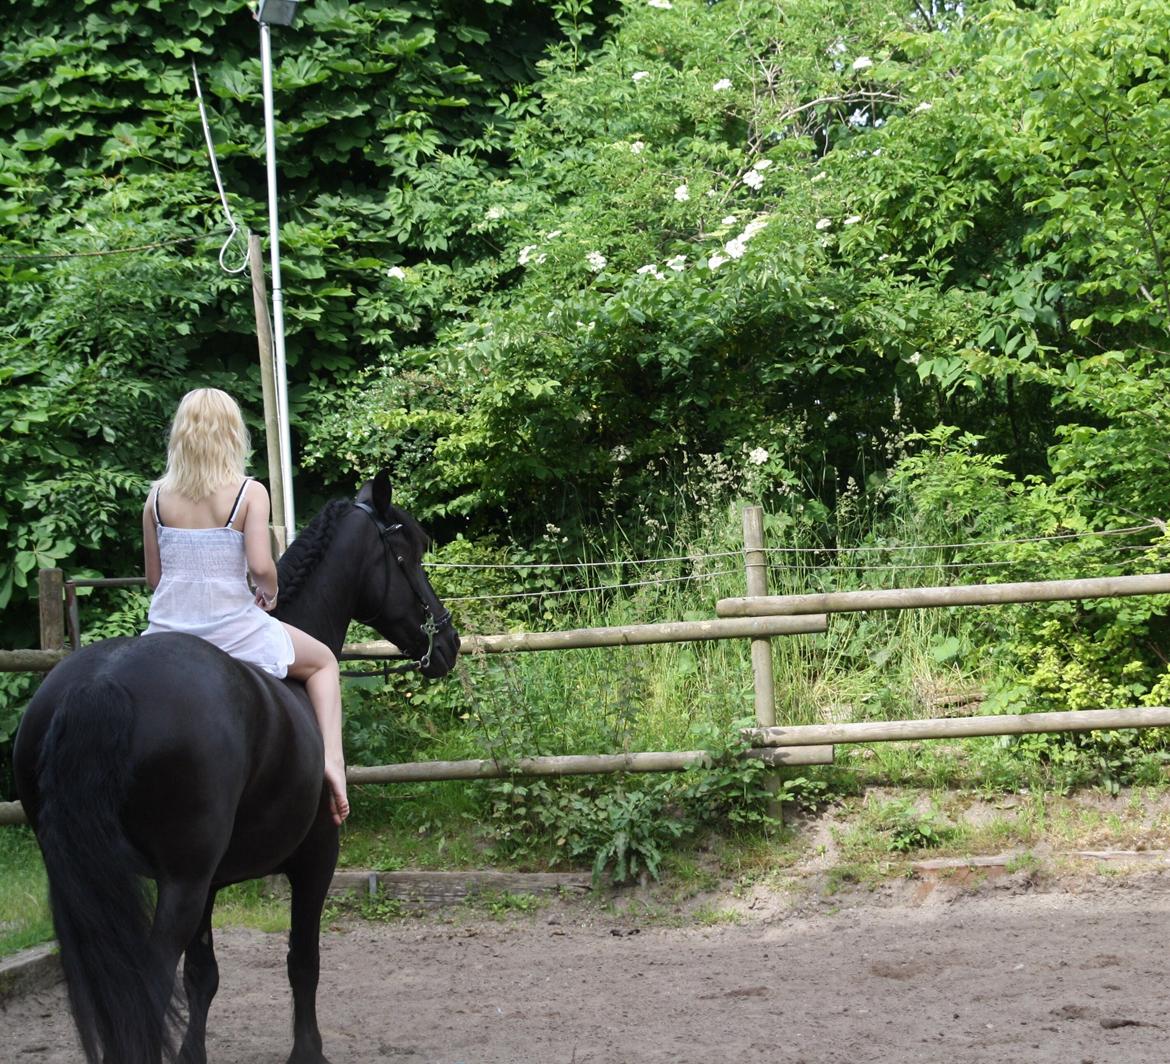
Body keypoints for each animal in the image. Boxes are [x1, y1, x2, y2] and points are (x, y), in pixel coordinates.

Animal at [12, 470, 460, 1064]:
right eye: (408, 554)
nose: (448, 641)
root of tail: (99, 684)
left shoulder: (210, 882)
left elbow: (203, 975)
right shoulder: (315, 858)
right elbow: (302, 962)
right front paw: (308, 1052)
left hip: (93, 884)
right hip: (178, 885)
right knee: (147, 984)